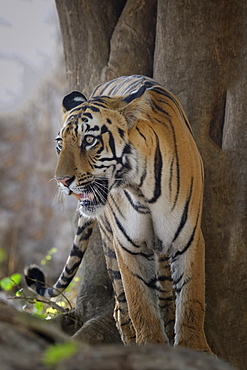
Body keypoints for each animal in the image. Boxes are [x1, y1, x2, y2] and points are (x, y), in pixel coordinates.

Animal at [24, 75, 210, 352]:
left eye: (89, 140)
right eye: (59, 144)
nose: (61, 181)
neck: (140, 187)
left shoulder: (187, 238)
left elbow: (191, 300)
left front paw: (193, 349)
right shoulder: (128, 245)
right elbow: (139, 304)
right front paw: (149, 347)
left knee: (165, 292)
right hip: (110, 243)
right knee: (121, 305)